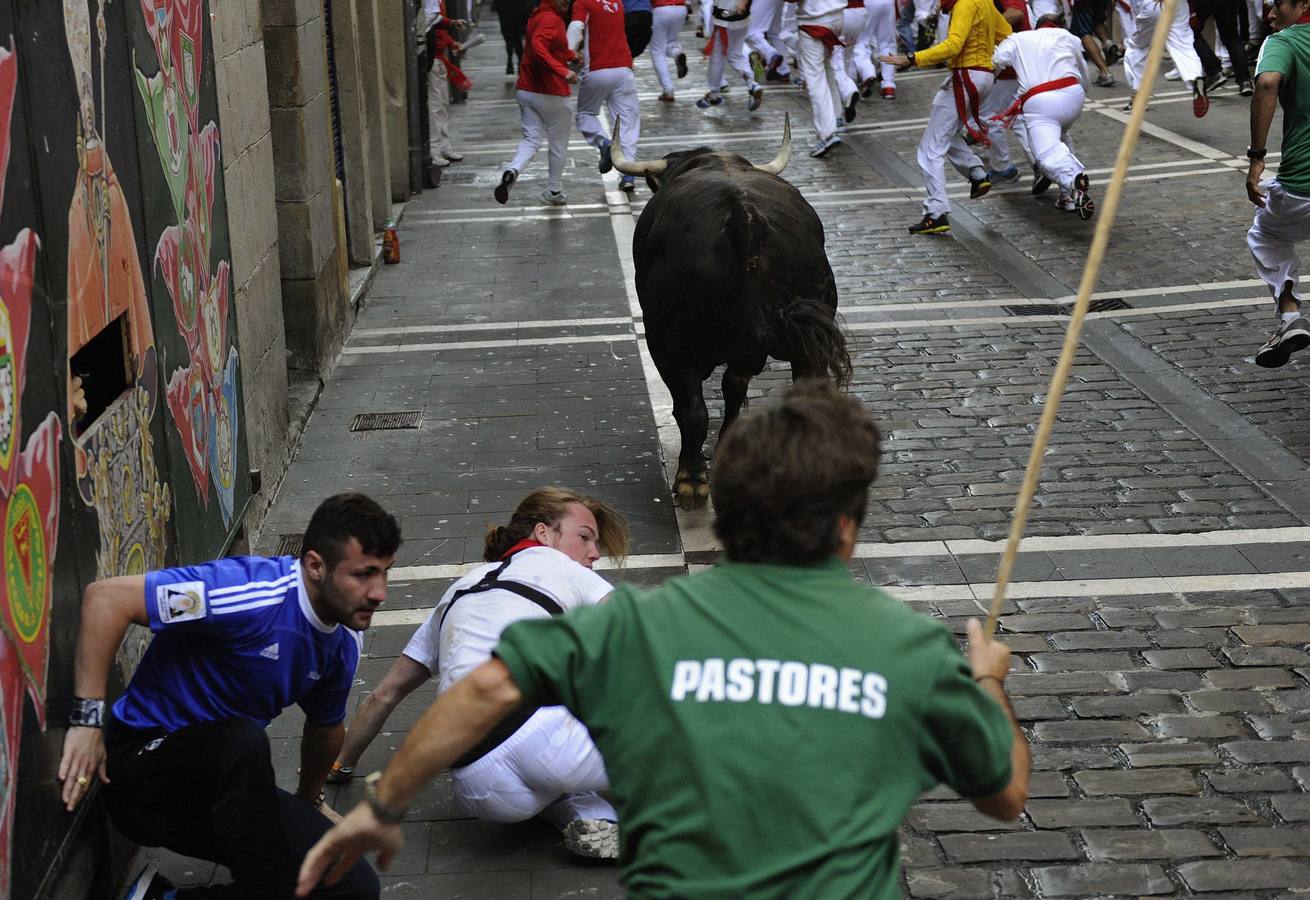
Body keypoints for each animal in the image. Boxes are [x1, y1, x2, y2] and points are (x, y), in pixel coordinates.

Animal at [610, 114, 848, 508]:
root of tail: (744, 216)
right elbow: (734, 392)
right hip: (807, 339)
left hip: (667, 341)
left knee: (692, 411)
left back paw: (690, 479)